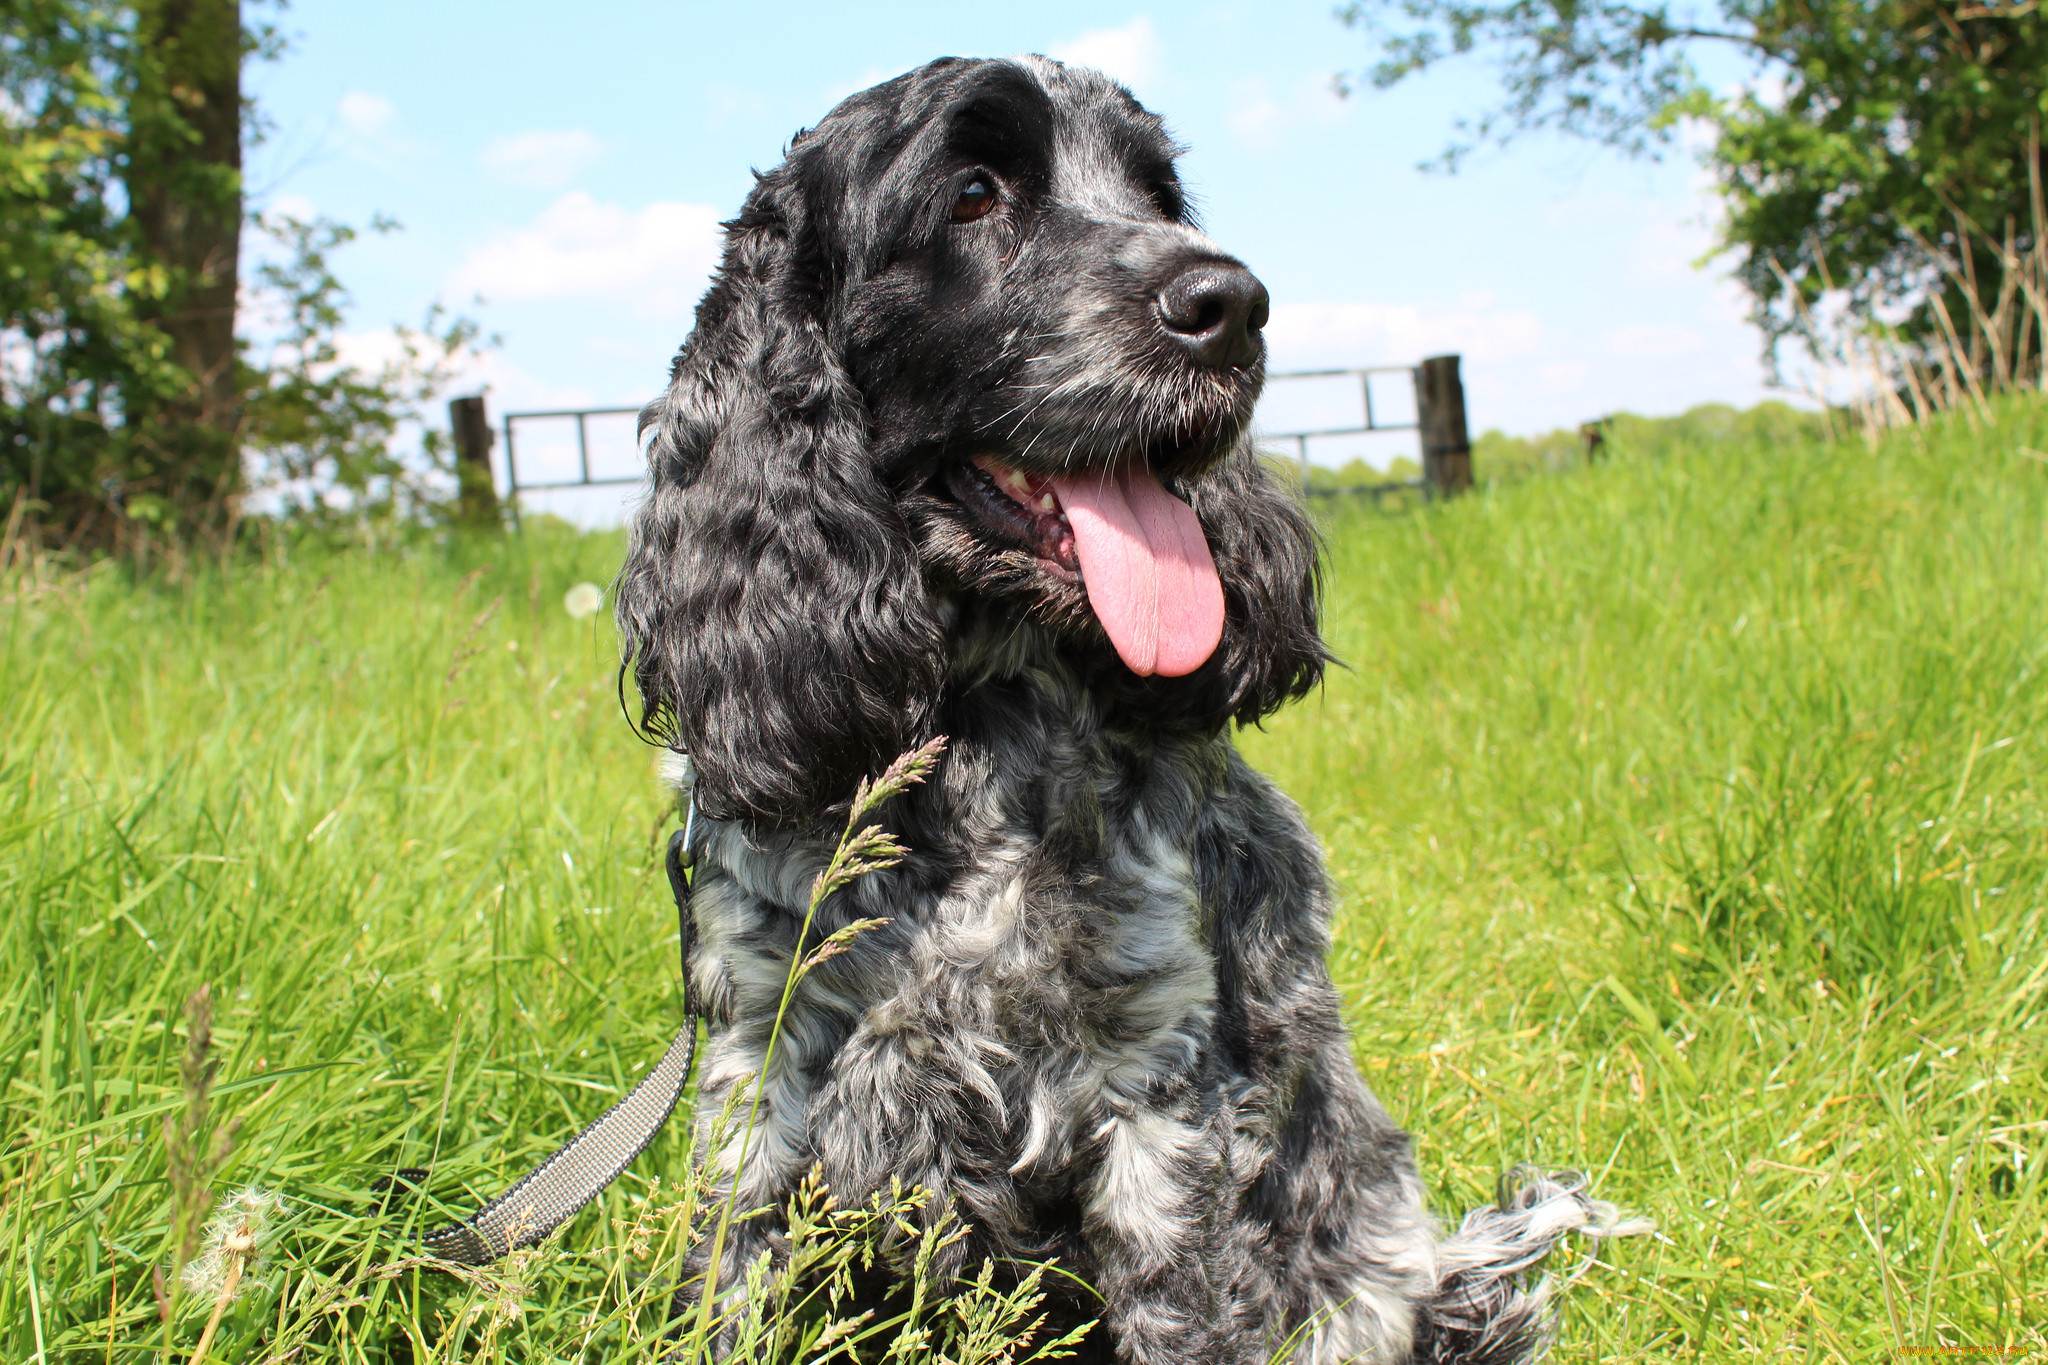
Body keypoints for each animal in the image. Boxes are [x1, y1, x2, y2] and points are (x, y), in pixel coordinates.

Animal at [614, 56, 1622, 1365]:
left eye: (1159, 195)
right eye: (973, 192)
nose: (1232, 303)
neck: (971, 738)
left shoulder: (1156, 1084)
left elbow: (1179, 1308)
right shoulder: (759, 1057)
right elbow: (731, 1291)